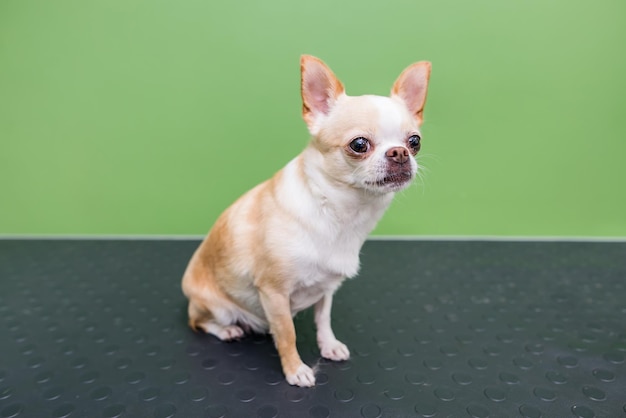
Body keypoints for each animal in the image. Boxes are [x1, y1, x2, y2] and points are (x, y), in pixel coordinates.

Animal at [180, 54, 428, 386]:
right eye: (359, 144)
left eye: (415, 141)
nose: (400, 152)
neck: (340, 213)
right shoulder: (273, 293)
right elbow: (287, 334)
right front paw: (295, 370)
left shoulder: (326, 289)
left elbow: (323, 320)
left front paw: (329, 346)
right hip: (215, 306)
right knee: (198, 322)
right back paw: (228, 329)